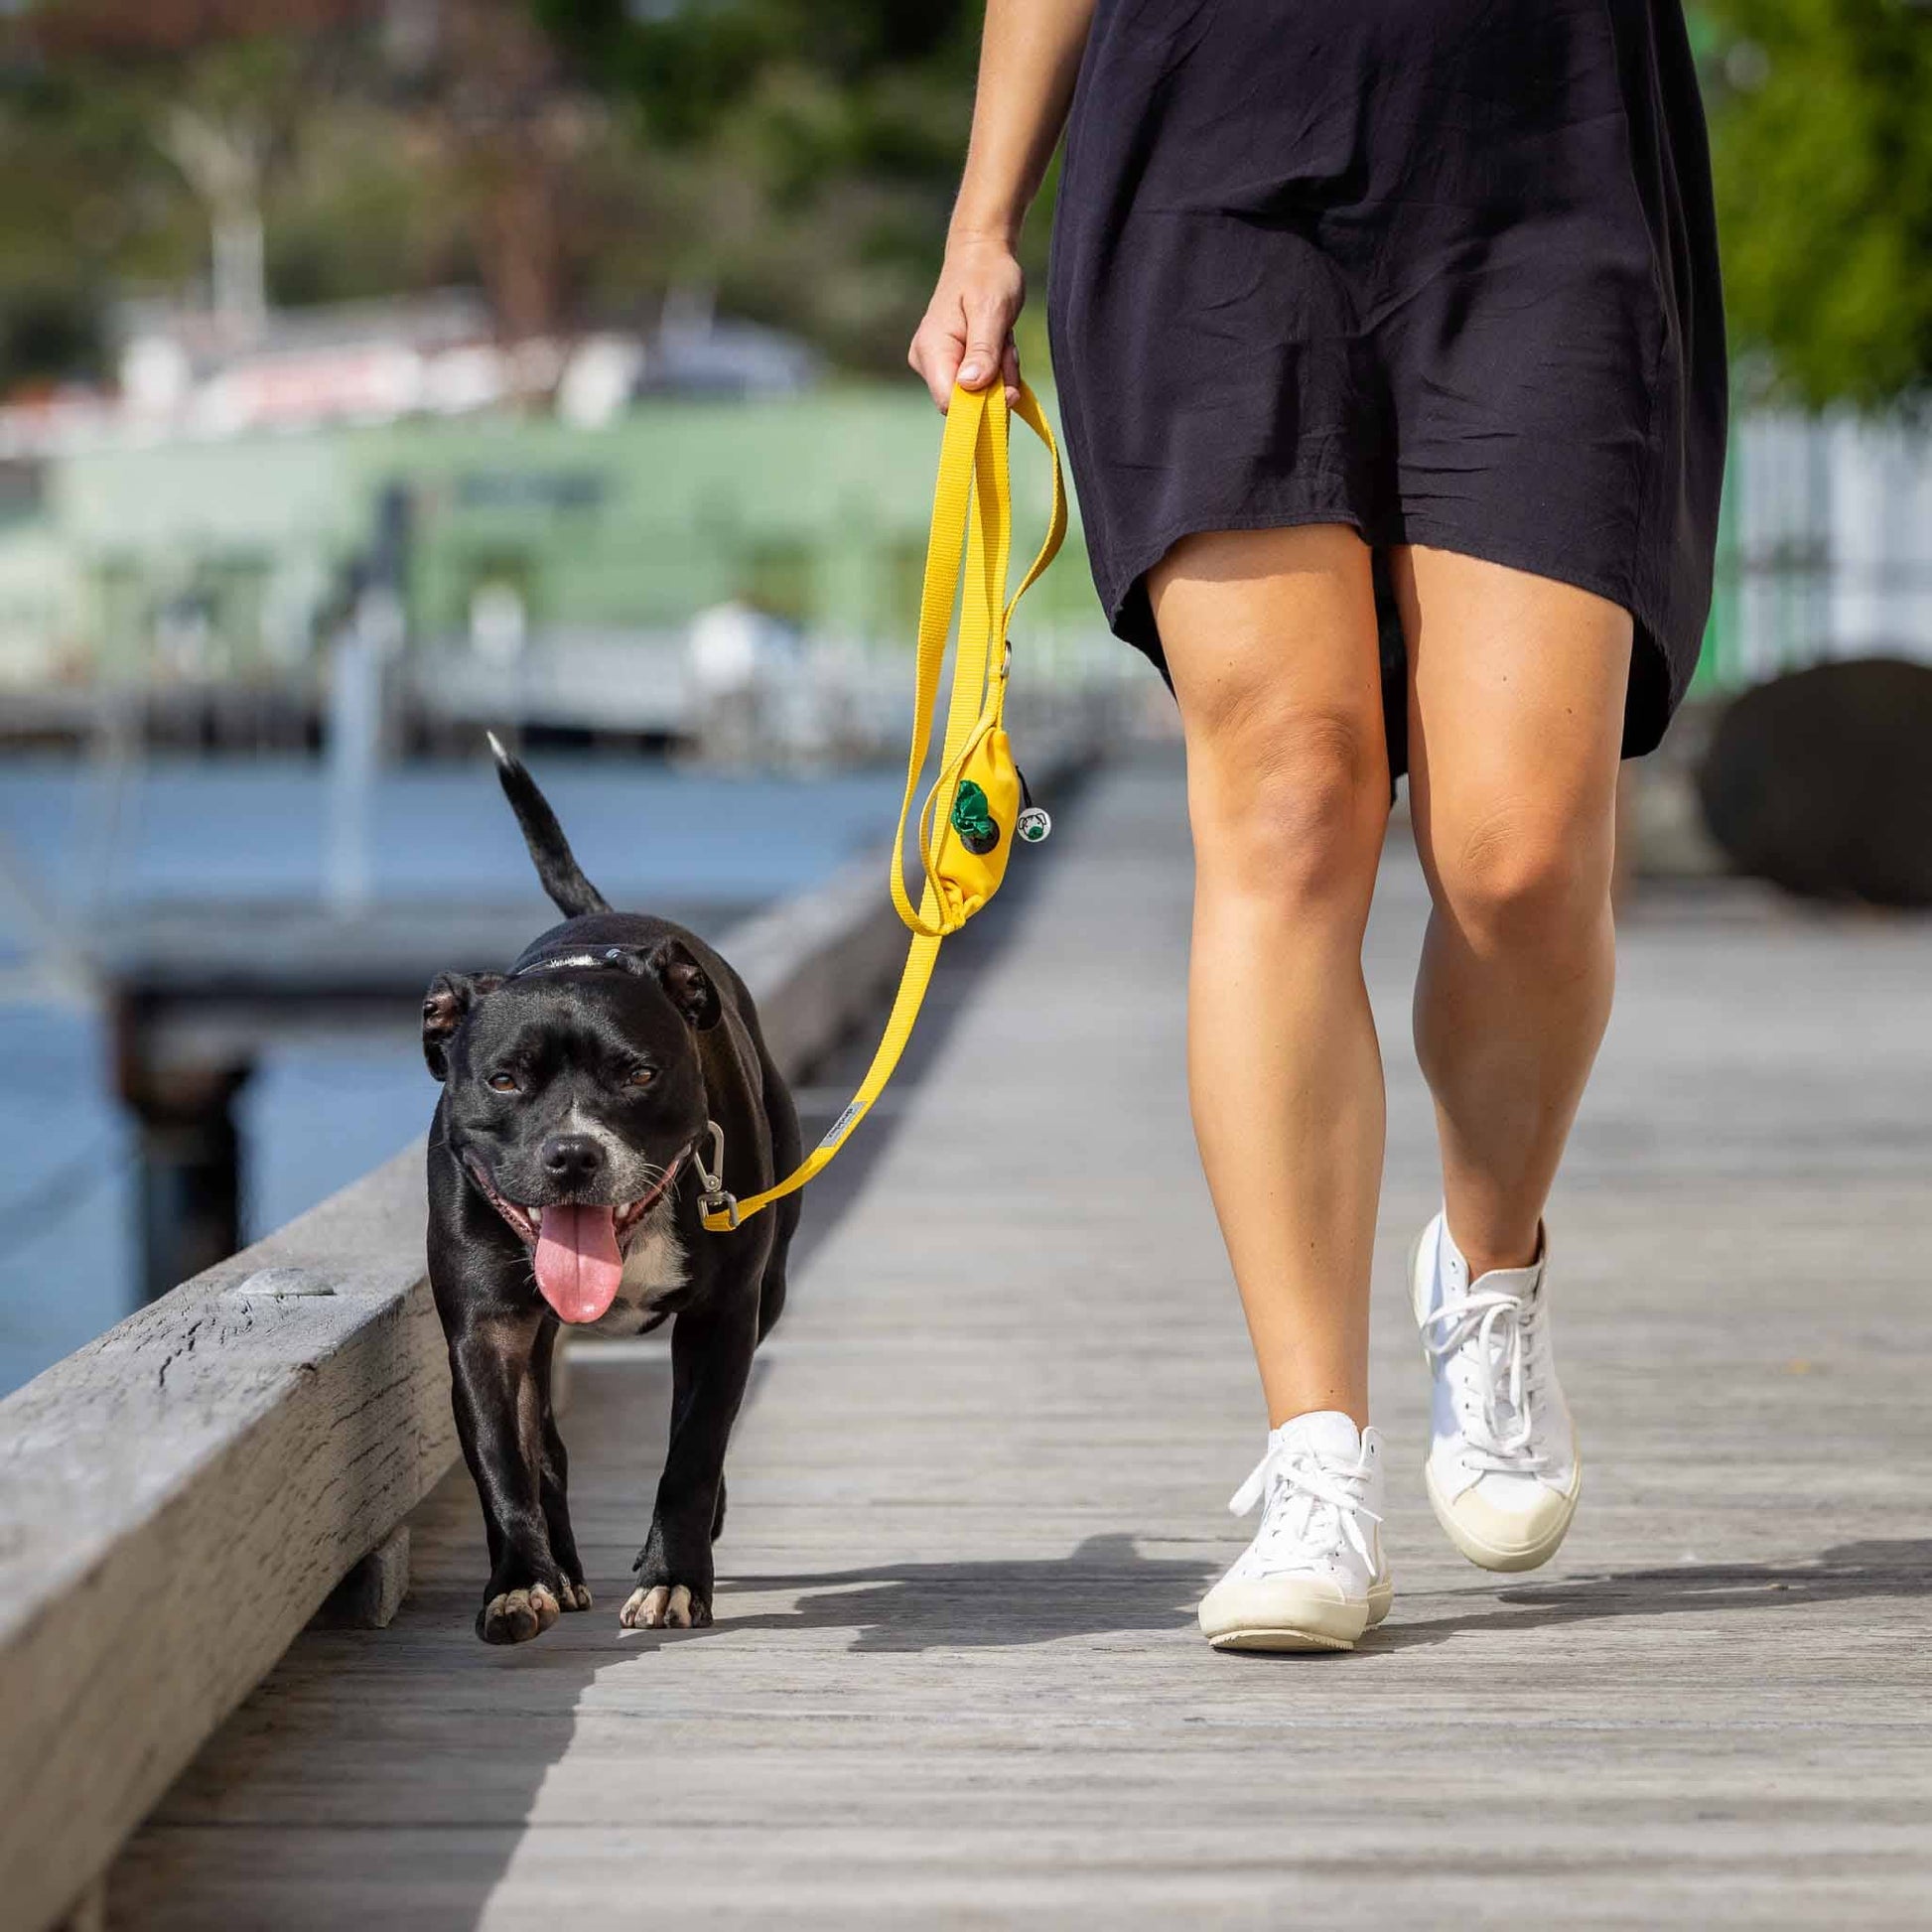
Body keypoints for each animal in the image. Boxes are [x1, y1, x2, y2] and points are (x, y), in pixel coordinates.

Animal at [425, 738, 799, 1645]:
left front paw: (674, 1578)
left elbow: (693, 1451)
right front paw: (519, 1582)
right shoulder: (487, 1331)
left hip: (768, 1288)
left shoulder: (724, 1316)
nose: (571, 1155)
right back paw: (560, 1569)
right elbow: (504, 1459)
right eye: (505, 1080)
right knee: (546, 1448)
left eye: (638, 1073)